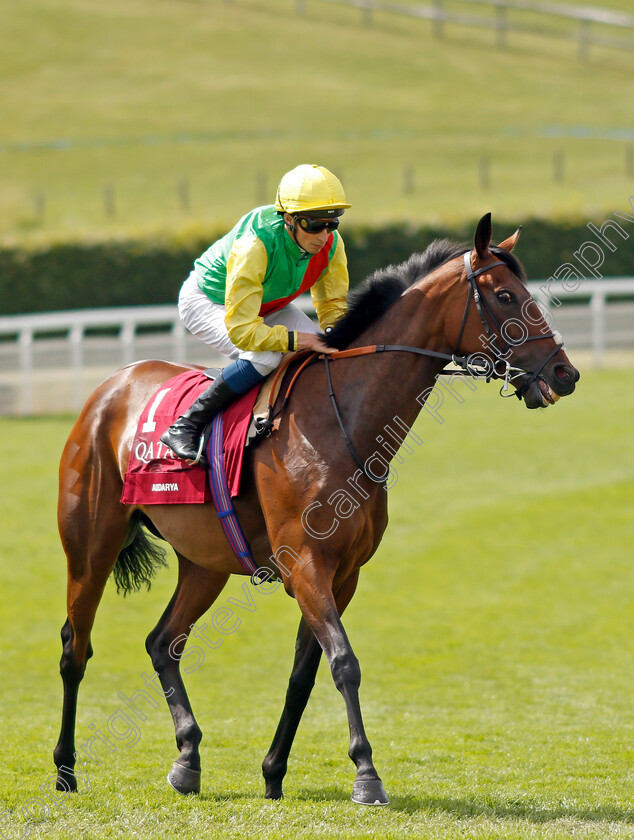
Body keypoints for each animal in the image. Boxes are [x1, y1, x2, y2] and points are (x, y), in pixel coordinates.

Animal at [53, 217, 576, 808]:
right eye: (507, 296)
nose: (565, 373)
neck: (343, 420)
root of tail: (111, 386)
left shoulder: (343, 573)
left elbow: (306, 673)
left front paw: (273, 772)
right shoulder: (304, 563)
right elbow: (344, 662)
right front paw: (367, 773)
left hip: (204, 562)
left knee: (163, 643)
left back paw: (187, 758)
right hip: (90, 545)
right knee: (76, 647)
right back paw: (66, 768)